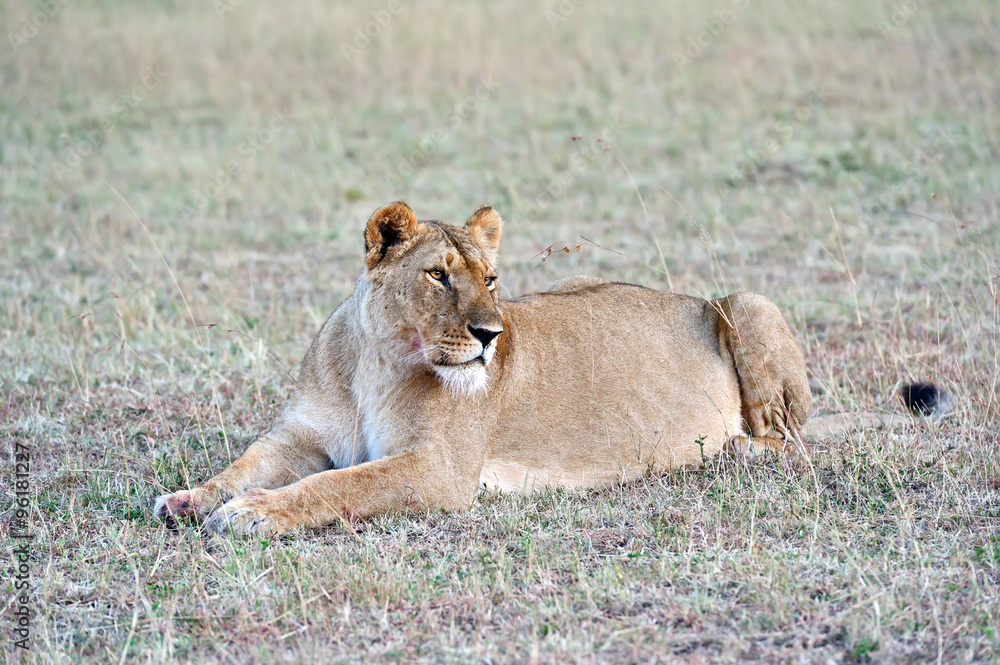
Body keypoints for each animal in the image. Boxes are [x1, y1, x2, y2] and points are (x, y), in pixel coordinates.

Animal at [153, 201, 918, 536]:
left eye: (491, 278)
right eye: (438, 275)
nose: (490, 334)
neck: (378, 357)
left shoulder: (437, 470)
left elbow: (339, 485)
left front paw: (252, 513)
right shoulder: (301, 435)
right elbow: (246, 464)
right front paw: (191, 499)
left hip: (748, 302)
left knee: (786, 443)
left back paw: (723, 450)